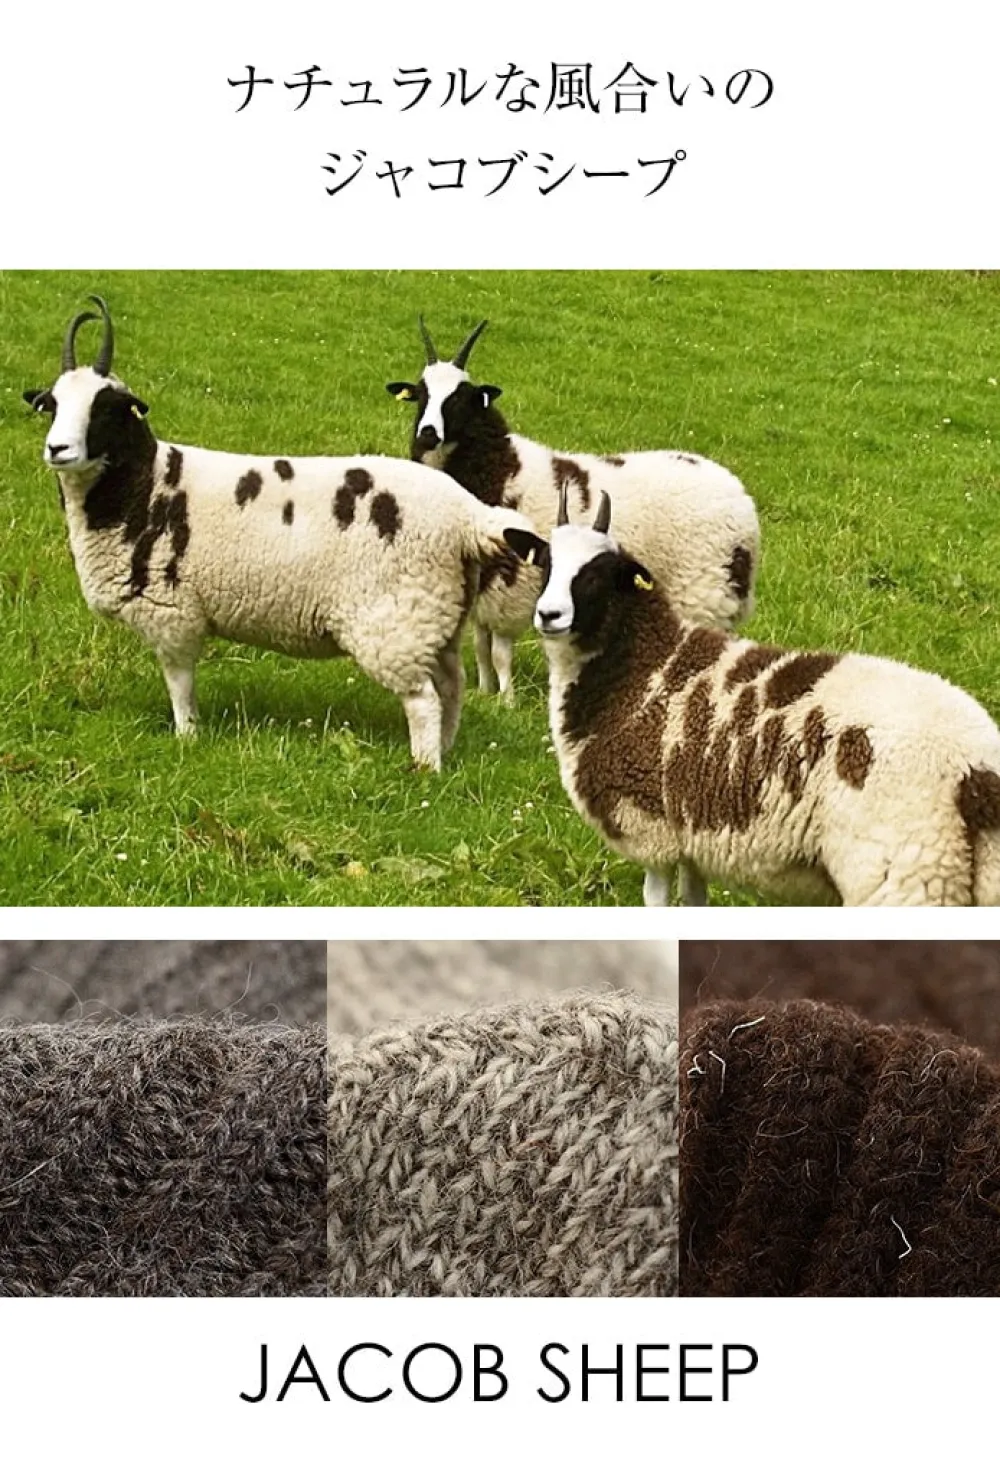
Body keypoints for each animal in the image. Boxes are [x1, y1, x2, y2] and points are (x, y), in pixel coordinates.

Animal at [23, 296, 533, 771]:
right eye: (51, 405)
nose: (57, 448)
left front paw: (187, 741)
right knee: (452, 688)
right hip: (436, 616)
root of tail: (466, 514)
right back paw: (444, 754)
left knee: (423, 699)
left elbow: (180, 686)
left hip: (394, 622)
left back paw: (424, 769)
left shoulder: (173, 614)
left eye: (107, 410)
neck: (143, 486)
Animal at [386, 318, 761, 708]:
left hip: (706, 593)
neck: (499, 468)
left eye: (460, 398)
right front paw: (485, 692)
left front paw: (507, 701)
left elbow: (501, 650)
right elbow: (480, 644)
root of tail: (741, 498)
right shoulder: (486, 579)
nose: (427, 434)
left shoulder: (511, 582)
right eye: (420, 395)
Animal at [502, 488, 1000, 907]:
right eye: (545, 564)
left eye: (598, 575)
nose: (549, 615)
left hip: (905, 874)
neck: (639, 666)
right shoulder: (693, 834)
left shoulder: (649, 829)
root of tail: (975, 769)